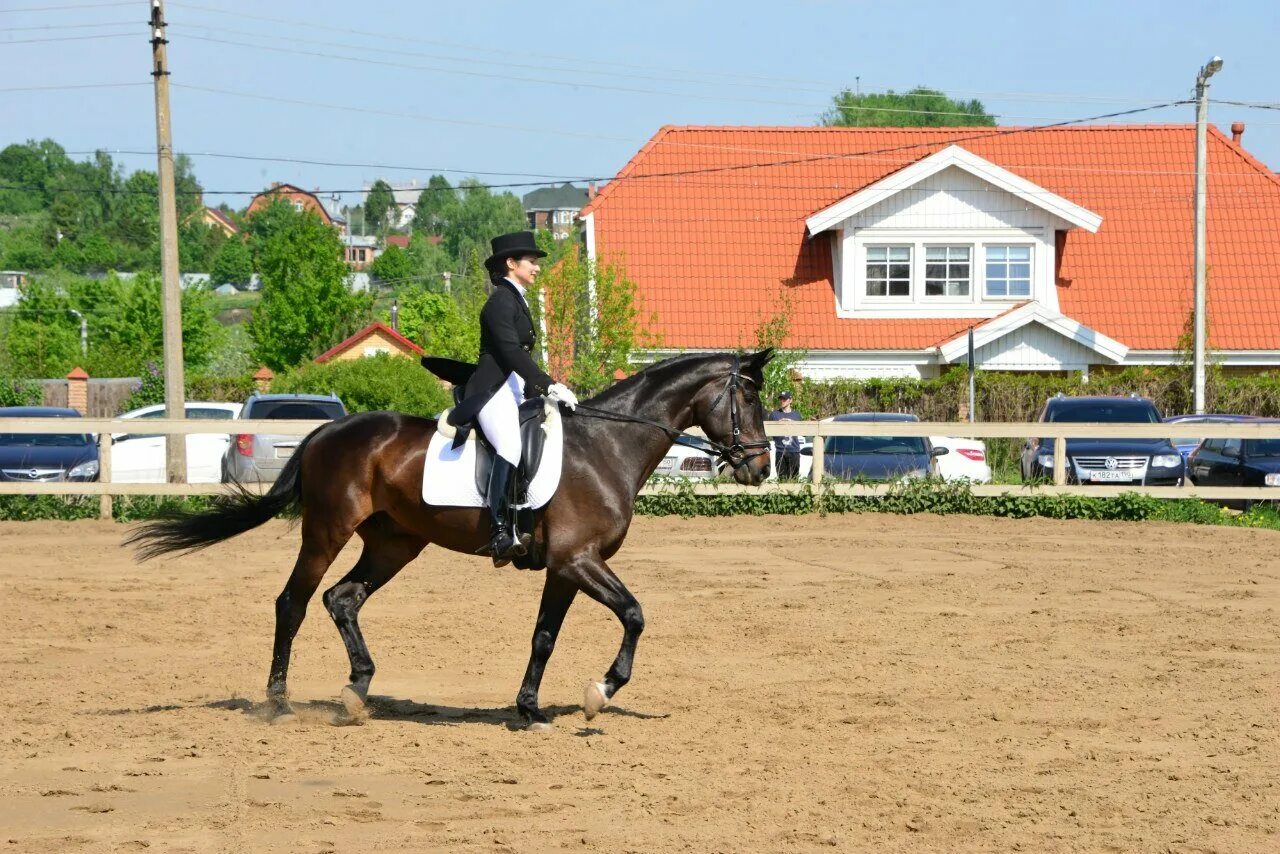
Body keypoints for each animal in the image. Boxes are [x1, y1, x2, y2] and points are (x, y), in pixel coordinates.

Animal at [127, 350, 768, 732]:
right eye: (749, 399)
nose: (761, 469)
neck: (606, 446)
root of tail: (326, 431)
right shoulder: (579, 560)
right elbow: (634, 614)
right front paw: (599, 692)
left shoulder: (565, 567)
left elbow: (543, 638)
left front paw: (529, 710)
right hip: (327, 531)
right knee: (295, 602)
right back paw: (279, 701)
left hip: (395, 543)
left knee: (341, 599)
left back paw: (358, 691)